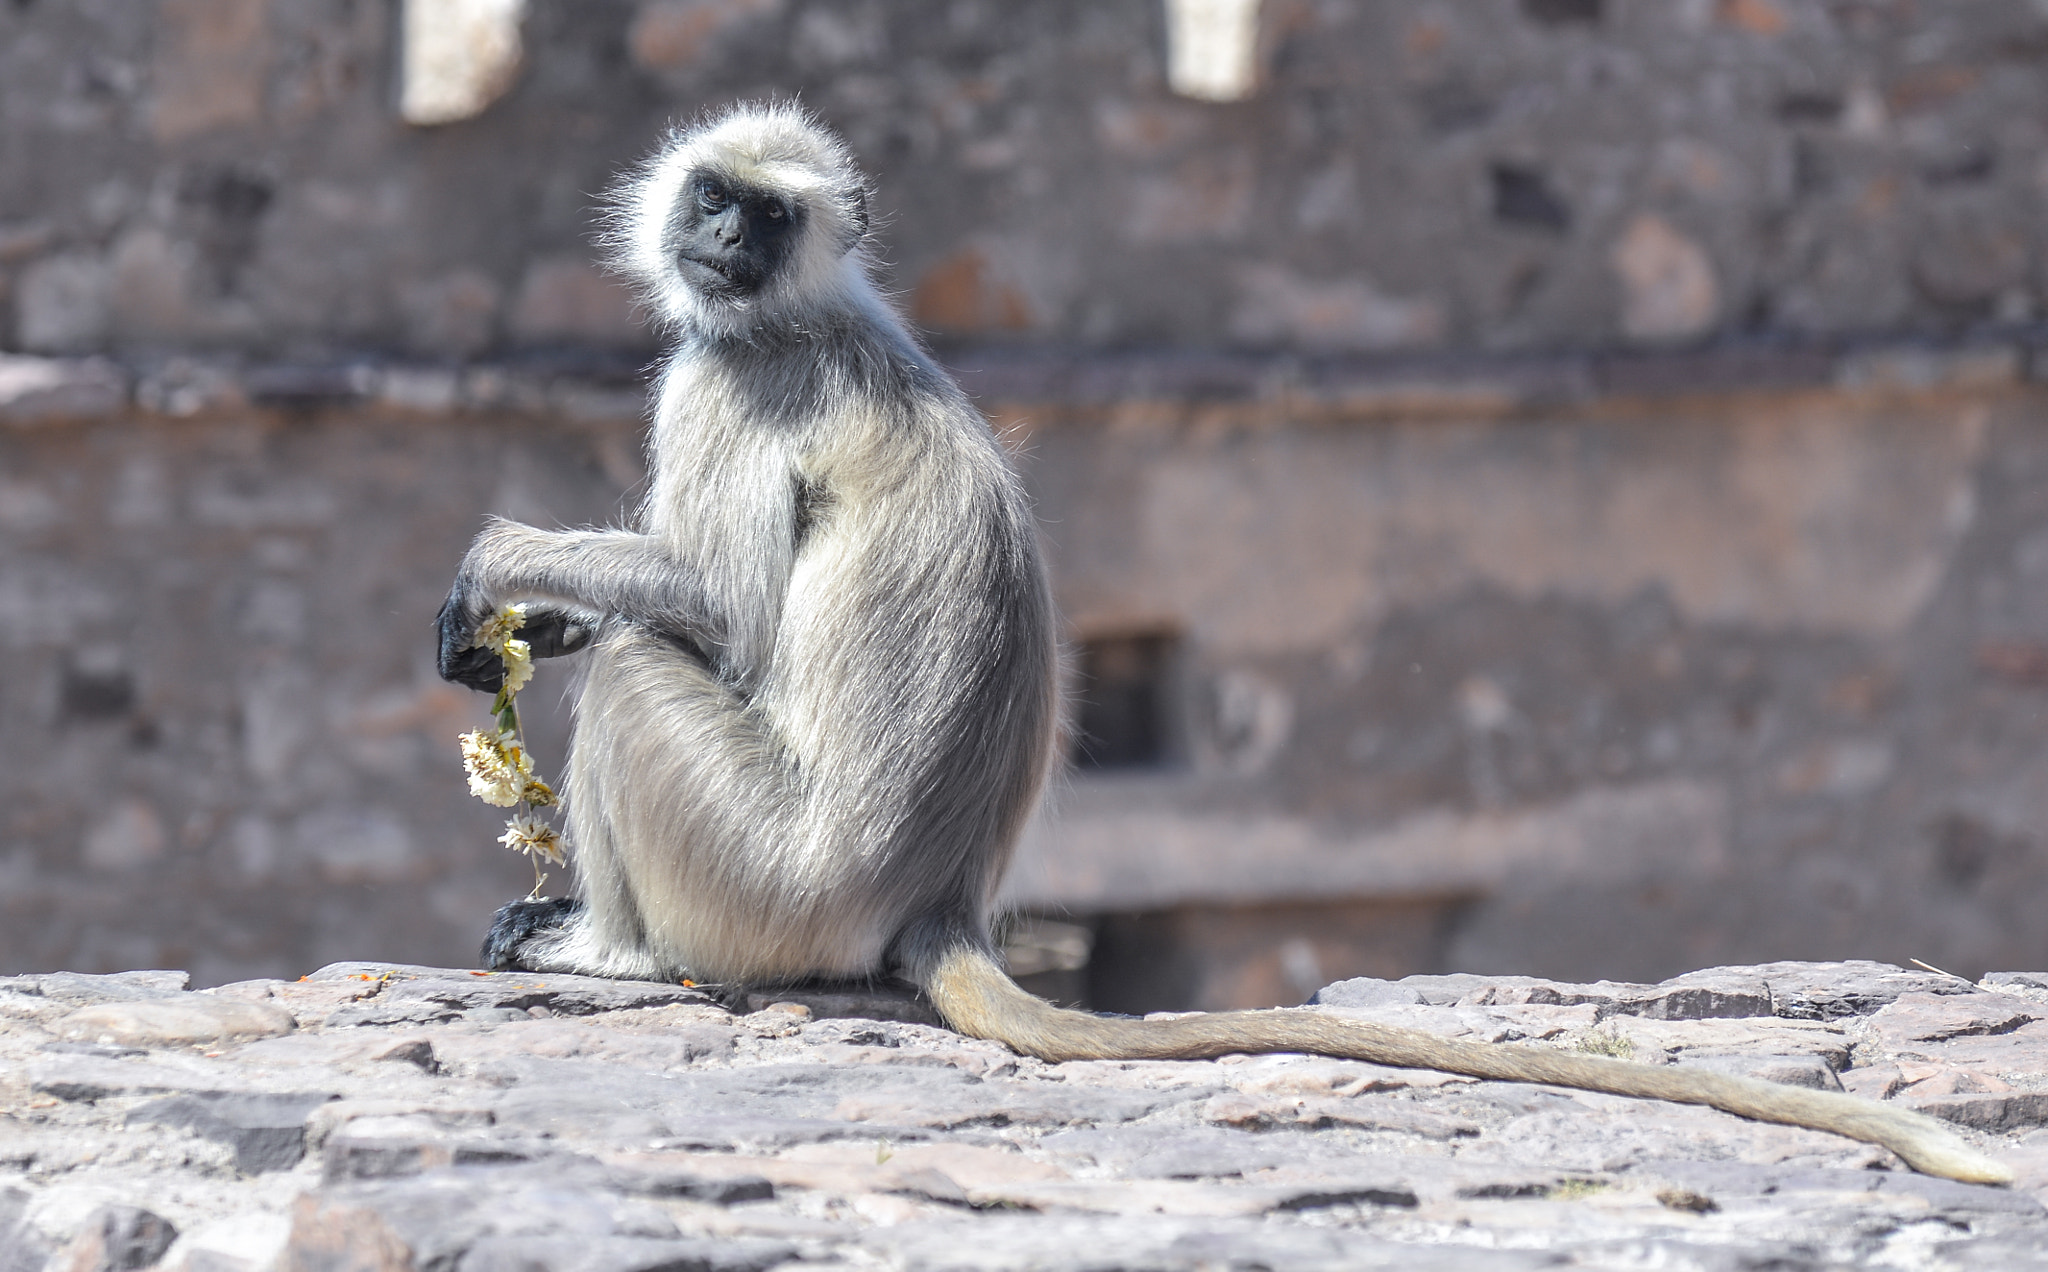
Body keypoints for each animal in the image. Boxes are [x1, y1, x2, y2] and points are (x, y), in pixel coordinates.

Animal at [428, 103, 1998, 1188]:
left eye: (764, 217)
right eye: (714, 198)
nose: (717, 247)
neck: (807, 310)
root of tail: (935, 898)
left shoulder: (730, 377)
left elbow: (720, 608)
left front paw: (503, 567)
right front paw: (529, 620)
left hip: (769, 877)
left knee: (645, 680)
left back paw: (610, 953)